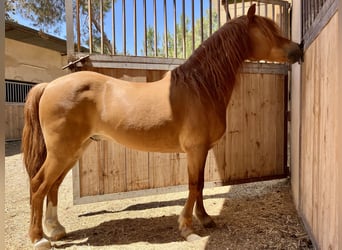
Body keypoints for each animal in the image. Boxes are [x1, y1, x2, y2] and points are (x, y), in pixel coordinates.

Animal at [22, 4, 302, 249]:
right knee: (38, 184)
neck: (200, 88)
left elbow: (200, 184)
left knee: (53, 185)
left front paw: (205, 219)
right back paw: (38, 239)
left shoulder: (202, 151)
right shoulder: (195, 149)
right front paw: (188, 228)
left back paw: (56, 230)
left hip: (74, 151)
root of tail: (50, 85)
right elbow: (193, 185)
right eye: (268, 31)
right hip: (62, 152)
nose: (298, 49)